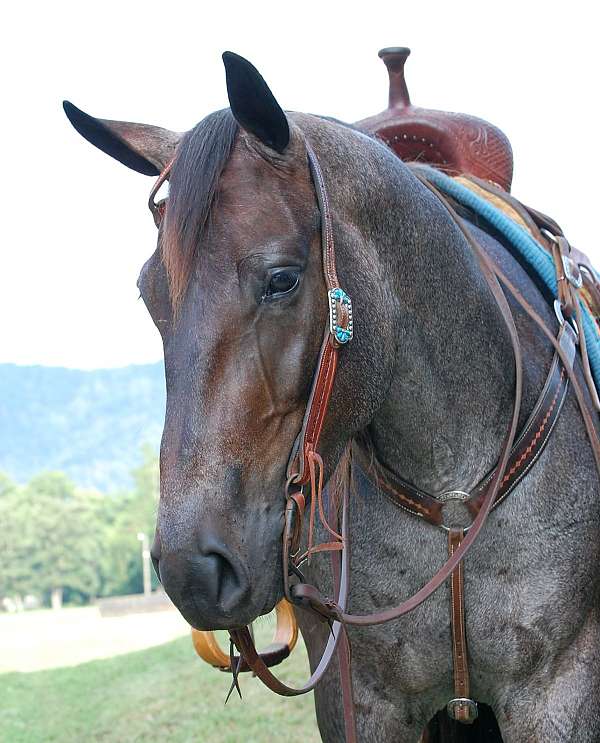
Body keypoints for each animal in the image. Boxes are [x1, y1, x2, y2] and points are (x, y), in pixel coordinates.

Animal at [64, 52, 600, 742]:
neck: (451, 492)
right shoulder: (361, 702)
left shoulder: (559, 691)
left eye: (283, 279)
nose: (193, 569)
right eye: (150, 295)